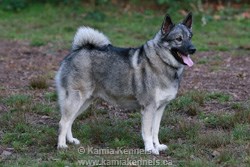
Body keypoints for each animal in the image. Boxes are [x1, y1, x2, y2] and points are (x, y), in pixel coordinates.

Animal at [56, 12, 195, 155]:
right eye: (178, 39)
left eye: (190, 37)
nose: (193, 49)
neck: (162, 61)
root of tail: (76, 51)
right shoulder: (149, 108)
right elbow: (148, 132)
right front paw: (150, 148)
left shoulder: (160, 108)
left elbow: (155, 131)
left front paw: (158, 145)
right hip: (76, 100)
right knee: (63, 122)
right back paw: (62, 145)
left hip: (84, 102)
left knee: (70, 121)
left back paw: (71, 140)